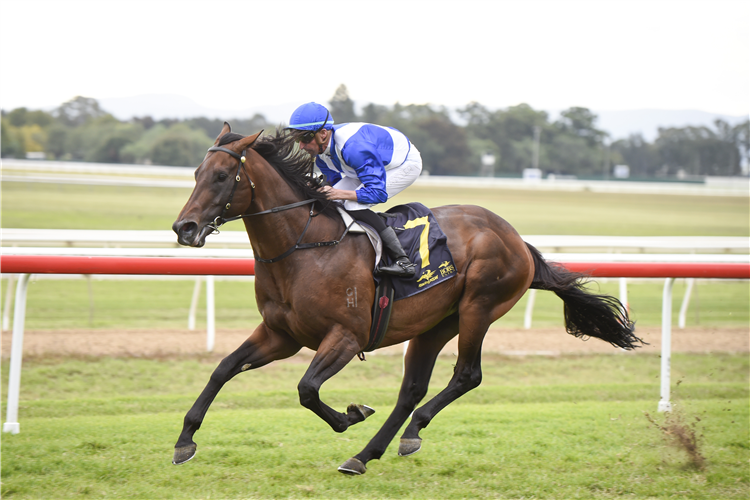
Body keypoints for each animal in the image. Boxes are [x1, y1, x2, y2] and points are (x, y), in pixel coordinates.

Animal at [173, 123, 644, 474]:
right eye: (196, 173)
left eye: (221, 176)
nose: (184, 228)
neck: (304, 248)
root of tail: (516, 240)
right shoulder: (280, 335)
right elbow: (223, 369)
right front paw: (184, 441)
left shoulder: (345, 337)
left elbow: (307, 389)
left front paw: (350, 414)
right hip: (433, 323)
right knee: (411, 389)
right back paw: (367, 454)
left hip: (478, 307)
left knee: (466, 376)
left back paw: (406, 433)